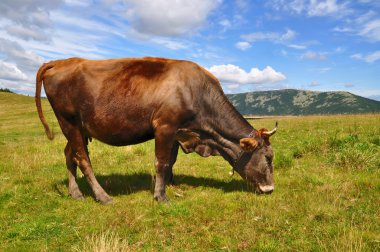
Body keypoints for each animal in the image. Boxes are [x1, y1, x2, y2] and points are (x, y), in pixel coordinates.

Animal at [35, 57, 276, 205]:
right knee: (83, 159)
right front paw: (161, 196)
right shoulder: (165, 126)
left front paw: (171, 184)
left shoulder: (179, 133)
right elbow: (162, 162)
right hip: (69, 122)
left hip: (79, 129)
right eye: (268, 157)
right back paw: (103, 196)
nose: (270, 189)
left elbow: (172, 160)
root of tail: (59, 62)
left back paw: (75, 192)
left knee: (70, 155)